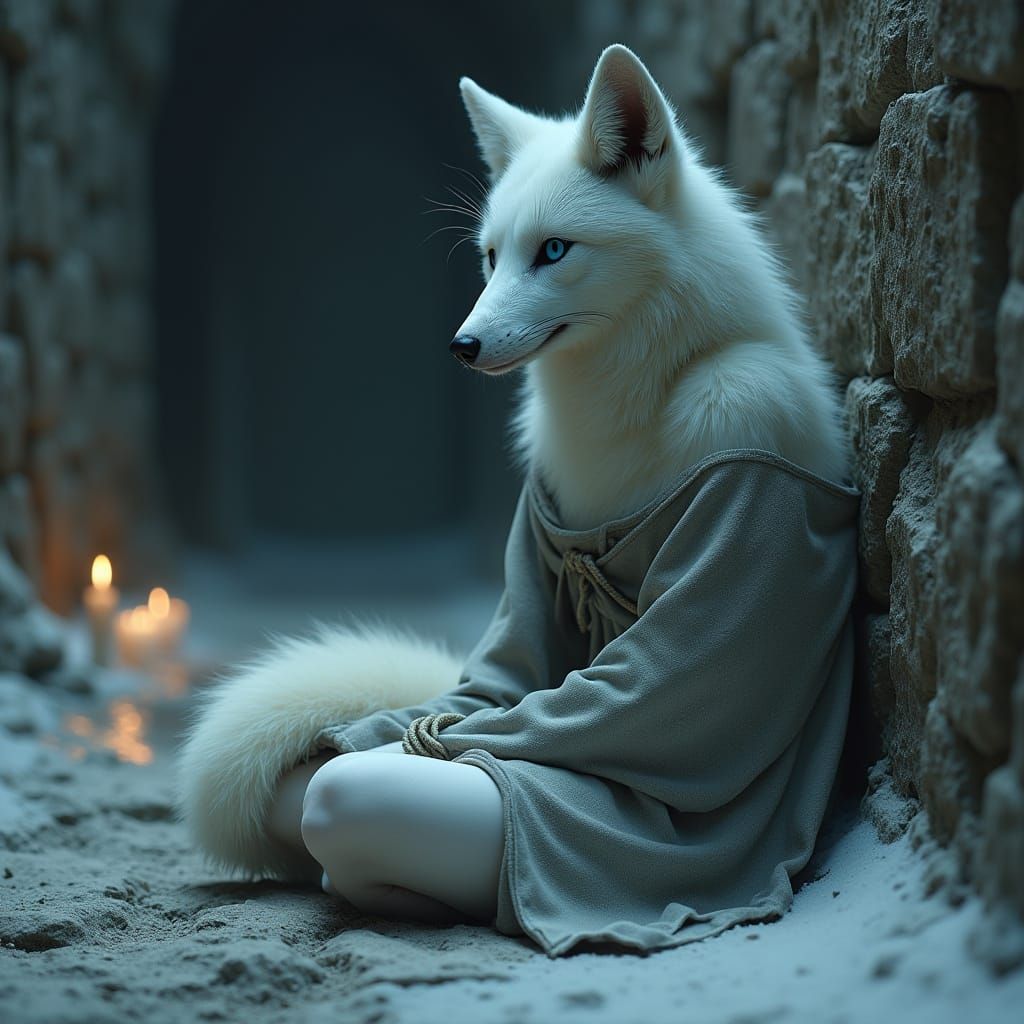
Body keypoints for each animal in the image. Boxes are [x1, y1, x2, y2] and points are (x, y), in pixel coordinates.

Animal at [175, 44, 852, 889]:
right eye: (492, 257)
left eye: (553, 250)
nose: (461, 347)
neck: (645, 391)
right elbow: (497, 679)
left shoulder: (746, 449)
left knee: (342, 796)